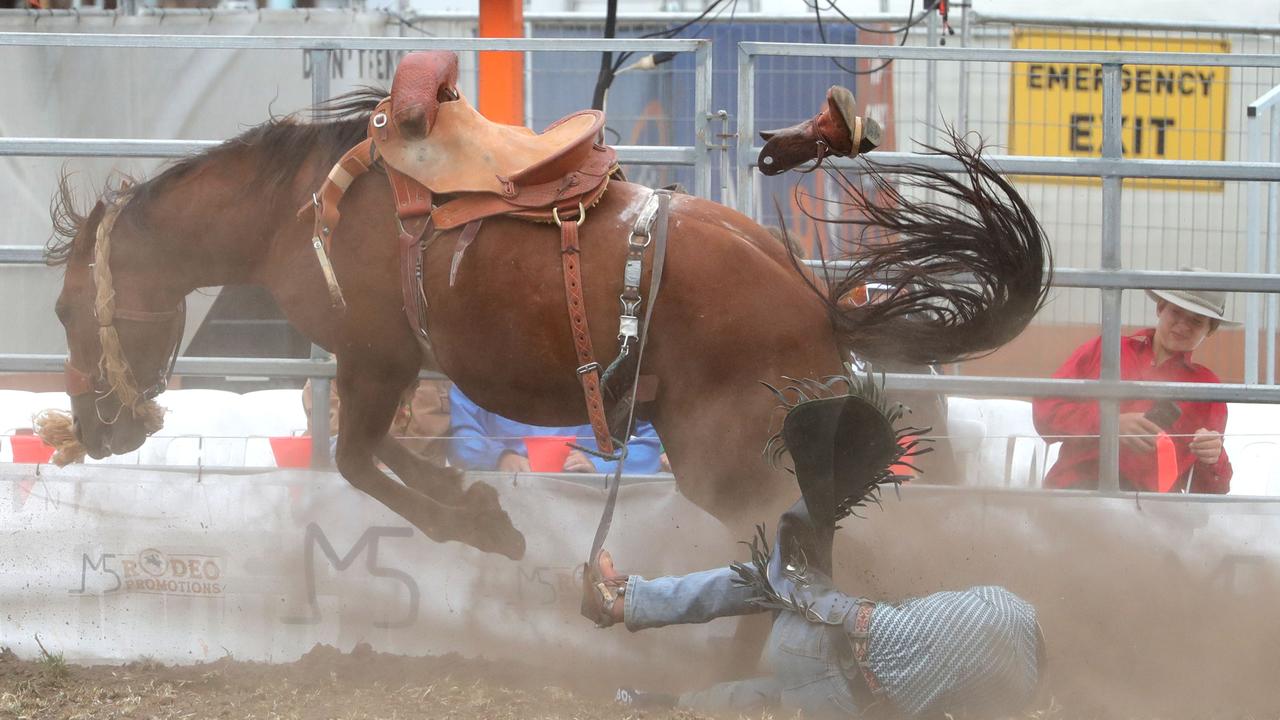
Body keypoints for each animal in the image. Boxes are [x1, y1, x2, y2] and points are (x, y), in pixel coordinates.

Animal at [47, 89, 1049, 558]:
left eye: (61, 308)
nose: (93, 428)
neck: (296, 205)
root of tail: (812, 298)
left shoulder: (375, 358)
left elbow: (359, 461)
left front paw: (480, 523)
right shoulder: (387, 368)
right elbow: (376, 457)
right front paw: (474, 501)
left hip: (729, 458)